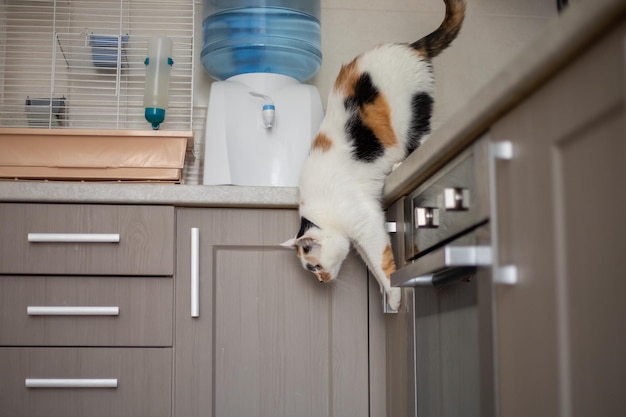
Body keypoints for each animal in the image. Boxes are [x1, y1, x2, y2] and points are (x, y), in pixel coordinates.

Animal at [282, 0, 464, 312]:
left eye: (313, 266)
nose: (321, 281)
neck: (322, 211)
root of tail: (408, 47)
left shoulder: (367, 223)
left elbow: (380, 261)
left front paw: (394, 297)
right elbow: (372, 263)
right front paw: (387, 295)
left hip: (411, 112)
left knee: (422, 136)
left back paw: (404, 161)